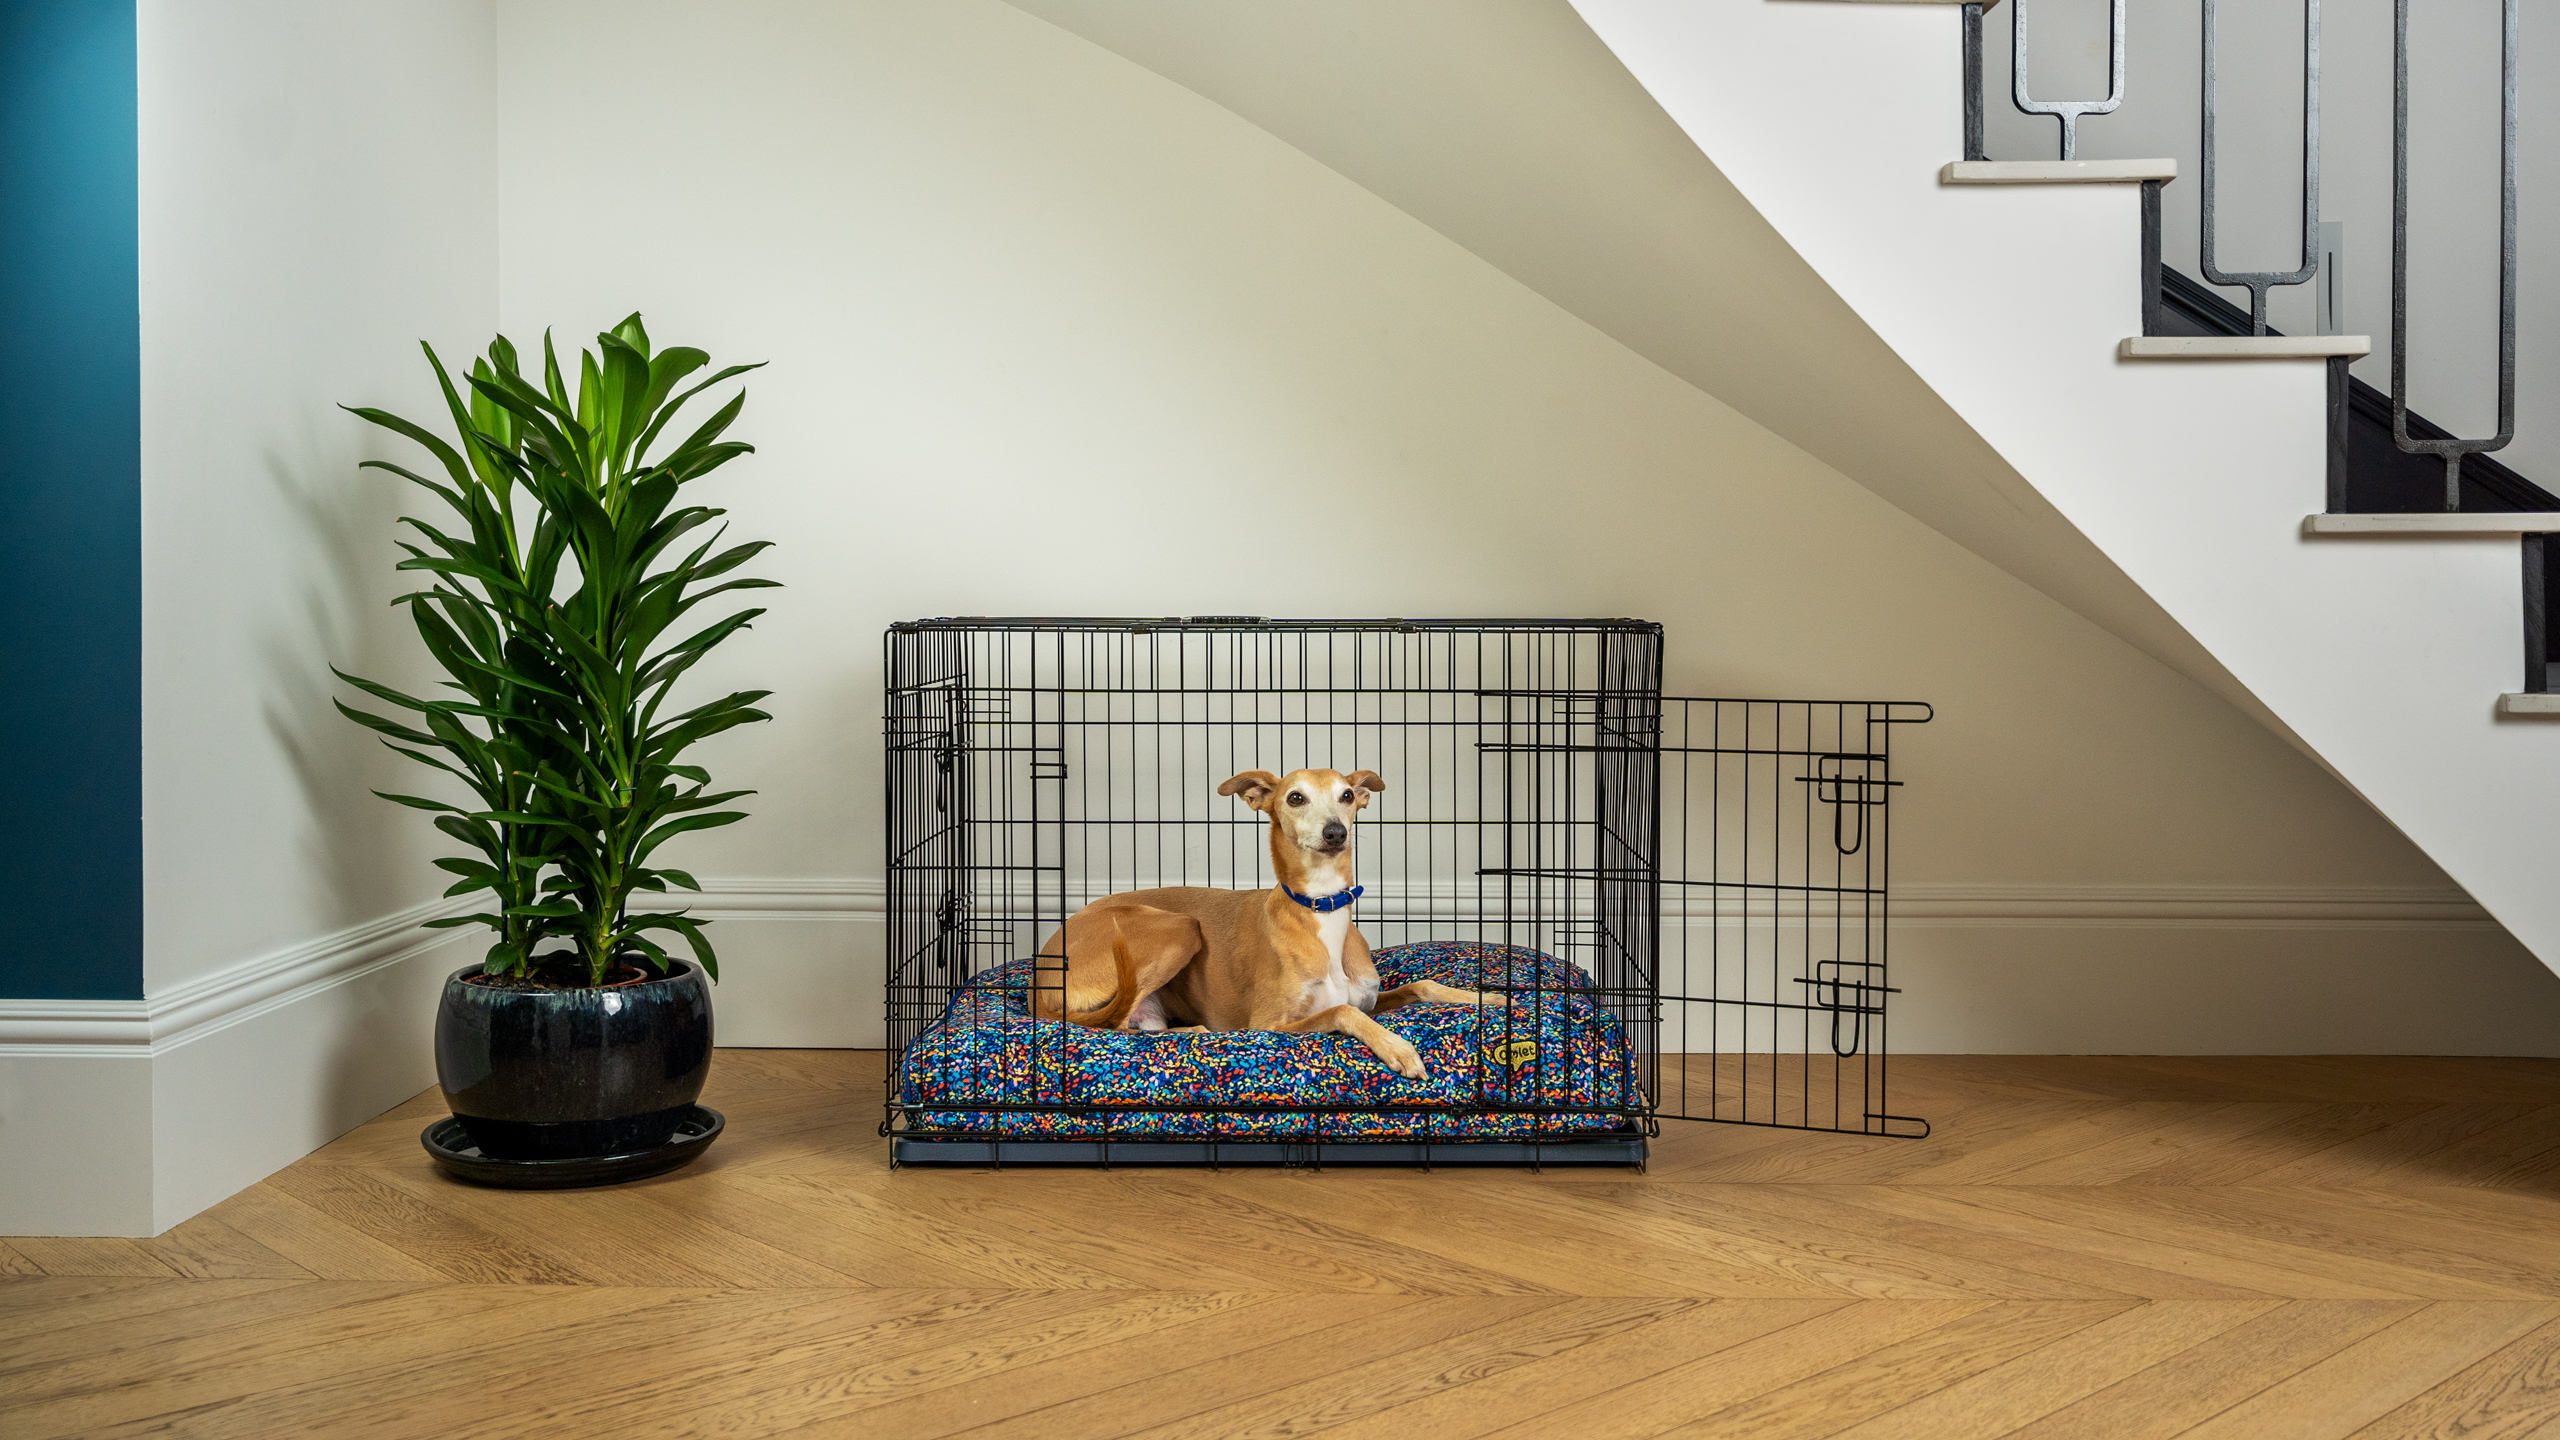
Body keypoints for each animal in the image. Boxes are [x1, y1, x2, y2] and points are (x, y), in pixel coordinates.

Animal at [1029, 768, 1495, 1071]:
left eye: (1347, 795)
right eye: (1295, 797)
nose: (1335, 833)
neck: (1322, 910)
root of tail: (1039, 980)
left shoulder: (1372, 996)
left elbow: (1421, 985)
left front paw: (1489, 999)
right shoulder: (1270, 1024)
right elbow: (1343, 1013)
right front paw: (1397, 1047)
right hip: (1180, 928)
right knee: (1116, 1027)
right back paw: (1200, 1031)